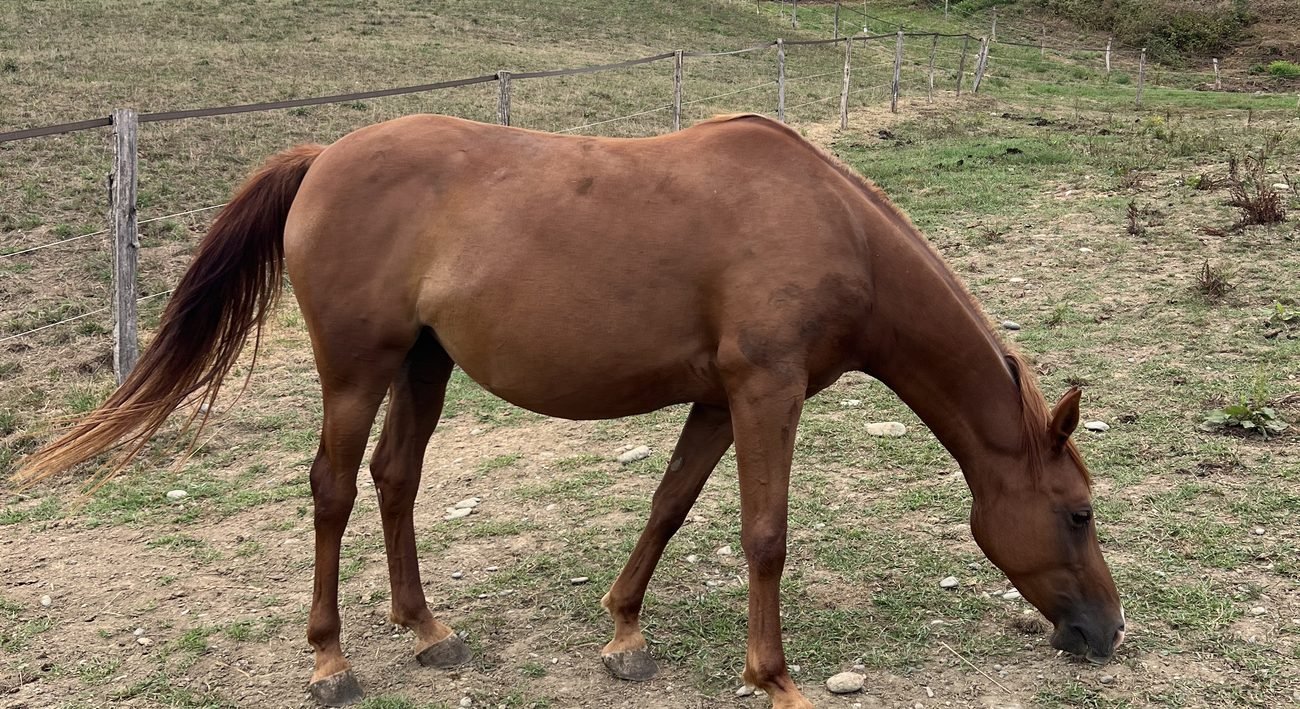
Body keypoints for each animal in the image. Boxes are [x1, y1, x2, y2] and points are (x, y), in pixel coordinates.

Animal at [14, 113, 1124, 708]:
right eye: (1076, 513)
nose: (1106, 632)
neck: (830, 225)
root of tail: (324, 154)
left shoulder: (719, 398)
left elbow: (669, 506)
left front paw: (623, 632)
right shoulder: (765, 391)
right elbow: (763, 535)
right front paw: (773, 675)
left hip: (423, 365)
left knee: (394, 479)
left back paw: (427, 629)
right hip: (357, 368)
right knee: (332, 488)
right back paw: (331, 656)